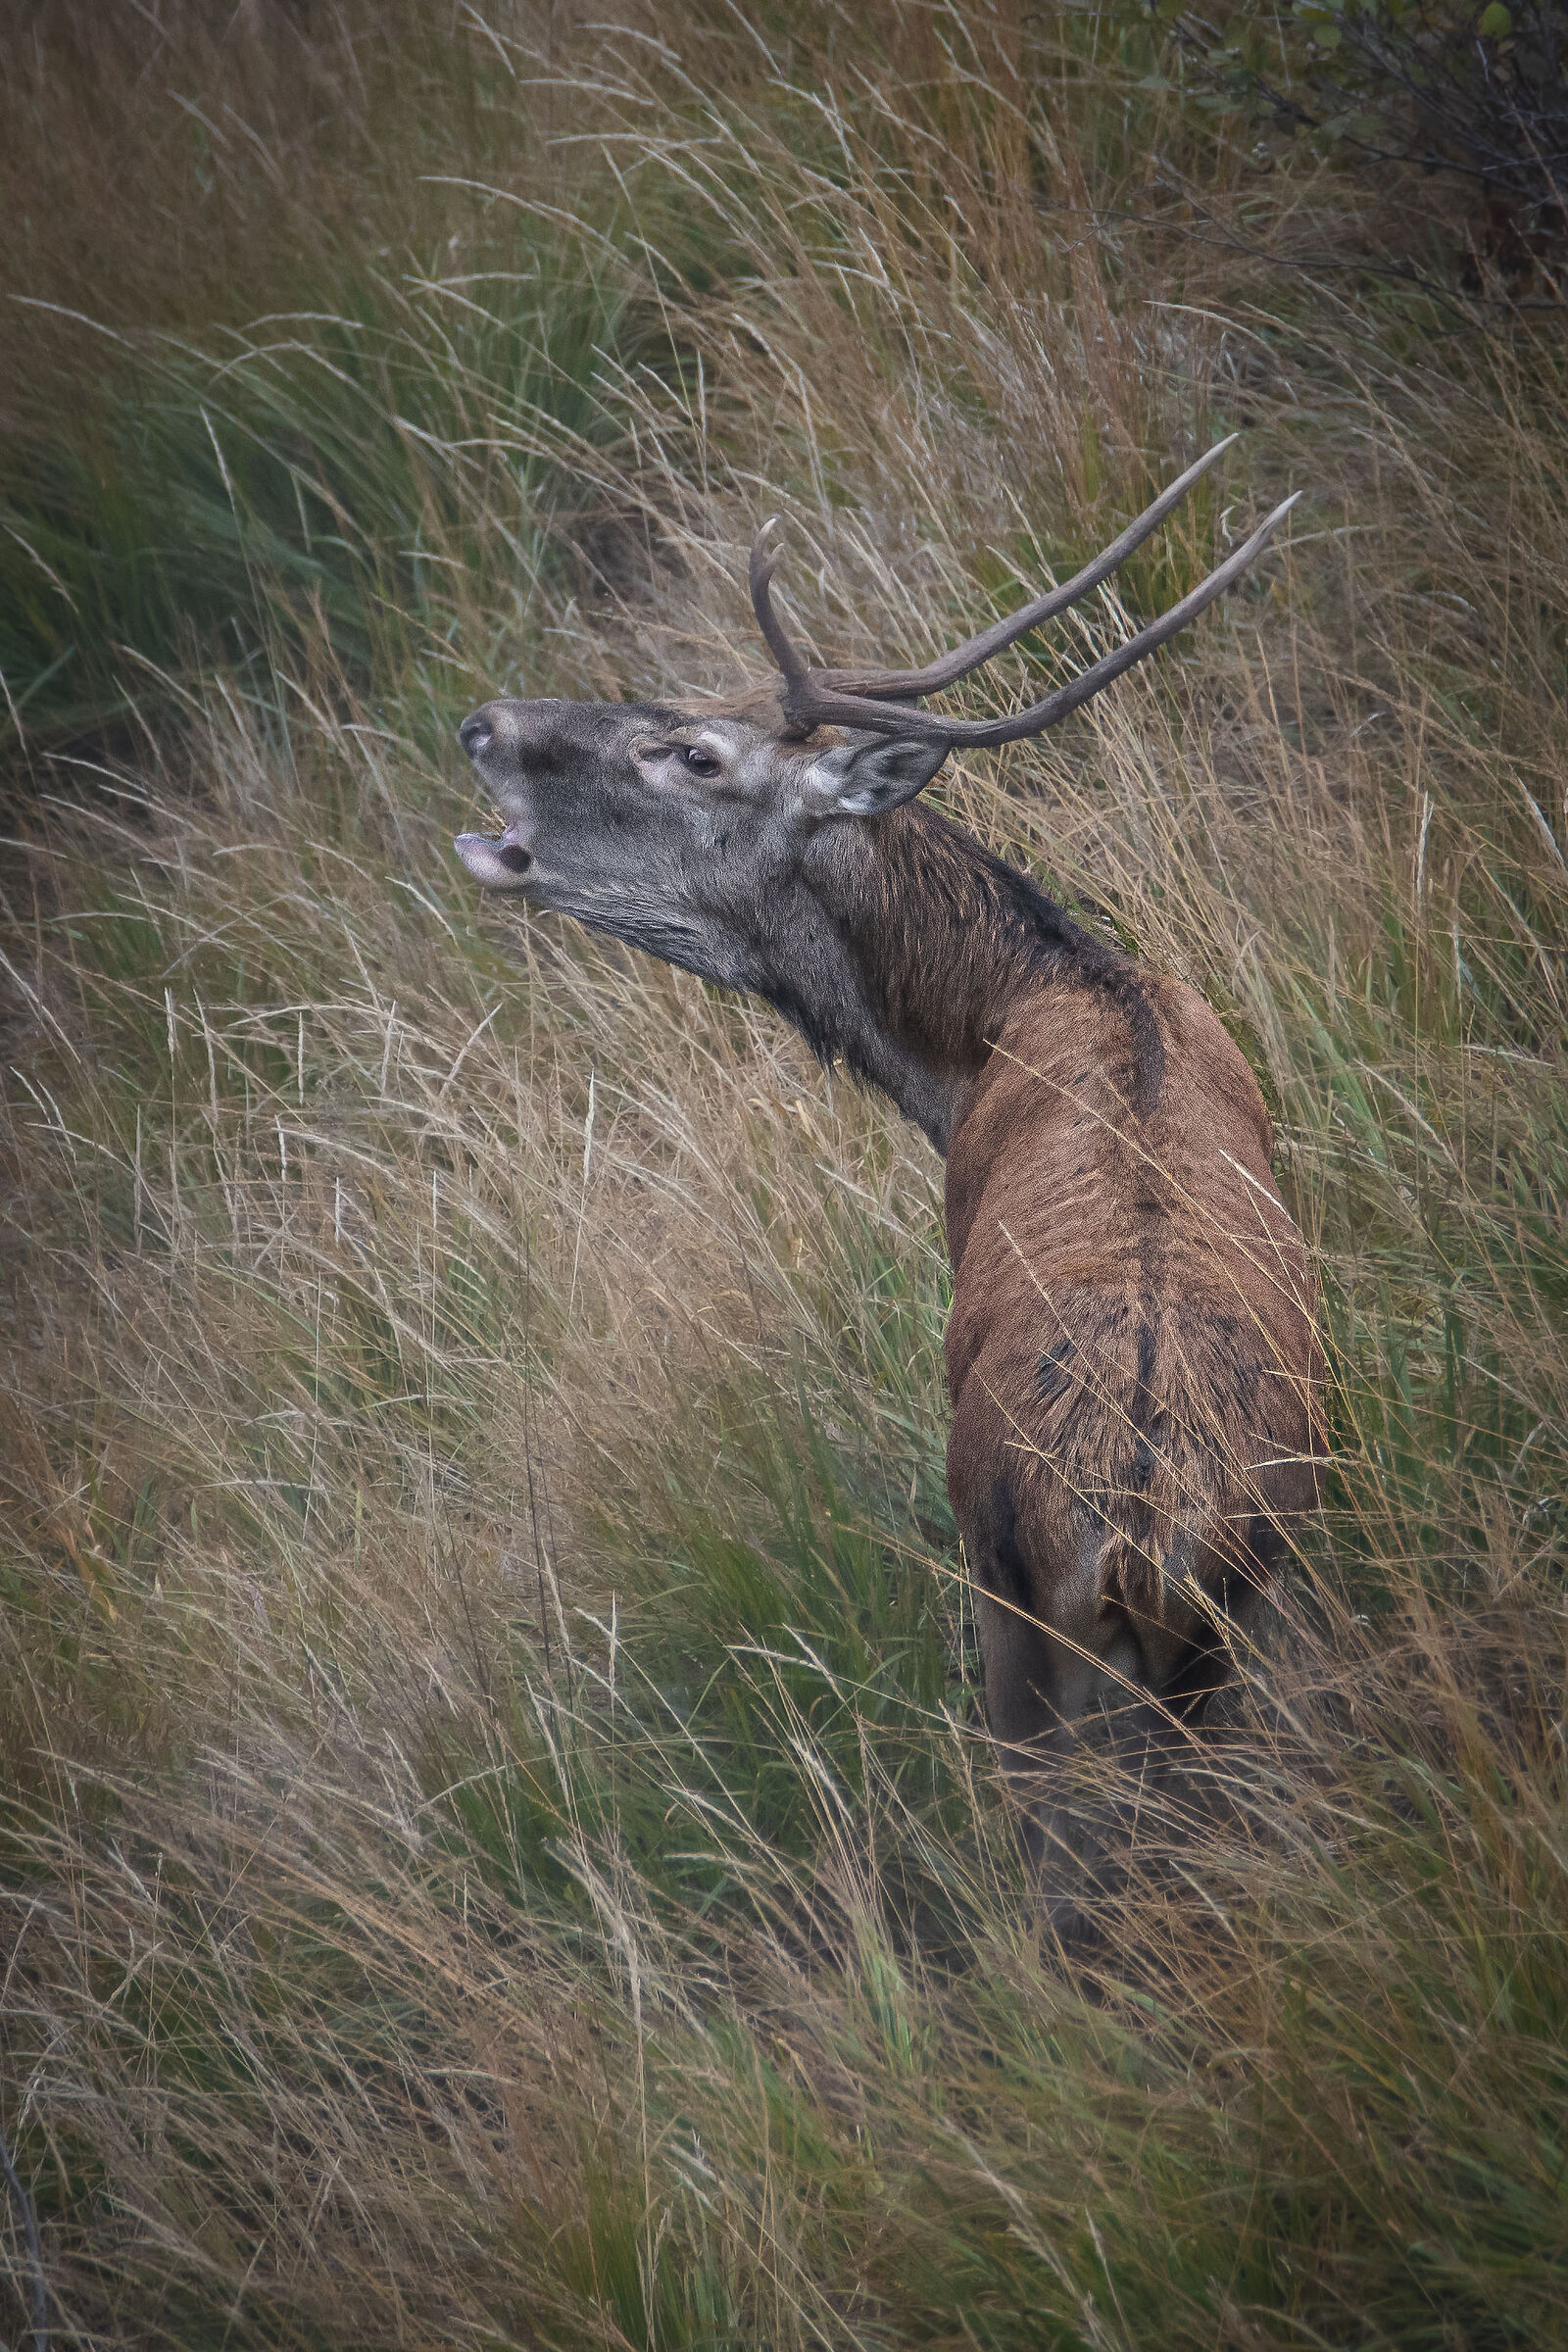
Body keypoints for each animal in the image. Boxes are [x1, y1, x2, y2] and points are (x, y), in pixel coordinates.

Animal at [453, 440, 1325, 1920]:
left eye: (695, 751)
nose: (484, 722)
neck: (987, 1036)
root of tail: (1138, 1530)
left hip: (1011, 1594)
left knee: (1056, 1864)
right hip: (1228, 1633)